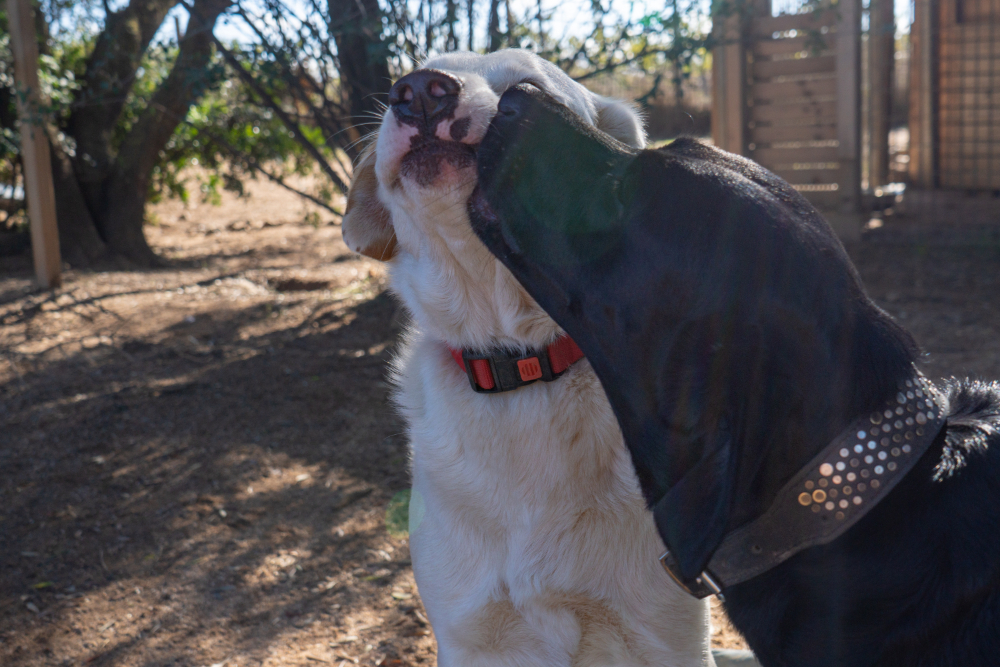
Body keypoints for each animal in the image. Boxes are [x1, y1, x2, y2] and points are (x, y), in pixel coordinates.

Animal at [341, 50, 723, 666]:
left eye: (527, 87)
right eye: (409, 80)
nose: (419, 92)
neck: (520, 361)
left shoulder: (667, 636)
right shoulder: (470, 636)